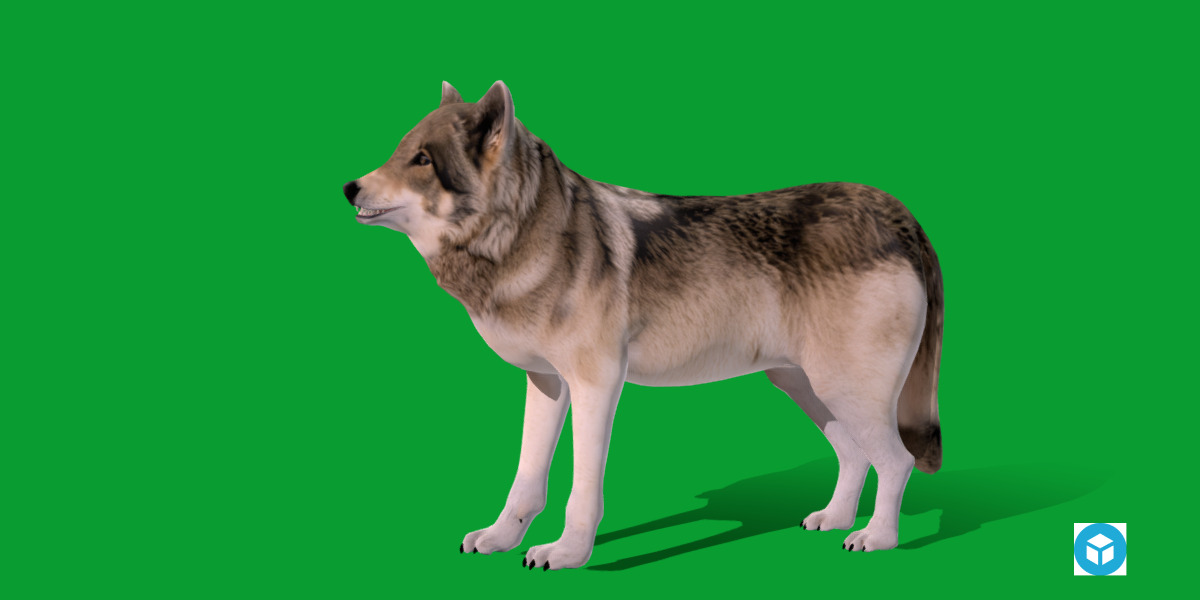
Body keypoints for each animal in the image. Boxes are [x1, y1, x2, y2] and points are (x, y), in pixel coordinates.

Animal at [342, 81, 943, 570]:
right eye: (400, 150)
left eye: (423, 160)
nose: (349, 187)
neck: (523, 235)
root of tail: (899, 214)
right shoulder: (547, 385)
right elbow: (525, 482)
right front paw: (499, 539)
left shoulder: (597, 386)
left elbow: (582, 490)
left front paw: (567, 553)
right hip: (809, 388)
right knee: (855, 454)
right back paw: (835, 519)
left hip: (843, 391)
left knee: (897, 460)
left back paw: (877, 538)